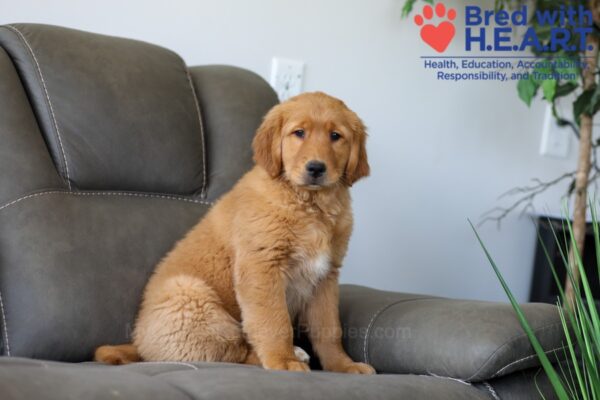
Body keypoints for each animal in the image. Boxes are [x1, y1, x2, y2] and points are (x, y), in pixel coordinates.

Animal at [95, 92, 372, 374]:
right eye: (299, 133)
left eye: (336, 136)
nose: (316, 168)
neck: (309, 205)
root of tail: (138, 344)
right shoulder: (261, 267)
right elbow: (274, 321)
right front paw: (283, 361)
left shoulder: (325, 277)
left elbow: (329, 330)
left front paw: (344, 365)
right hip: (190, 296)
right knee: (232, 350)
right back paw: (291, 354)